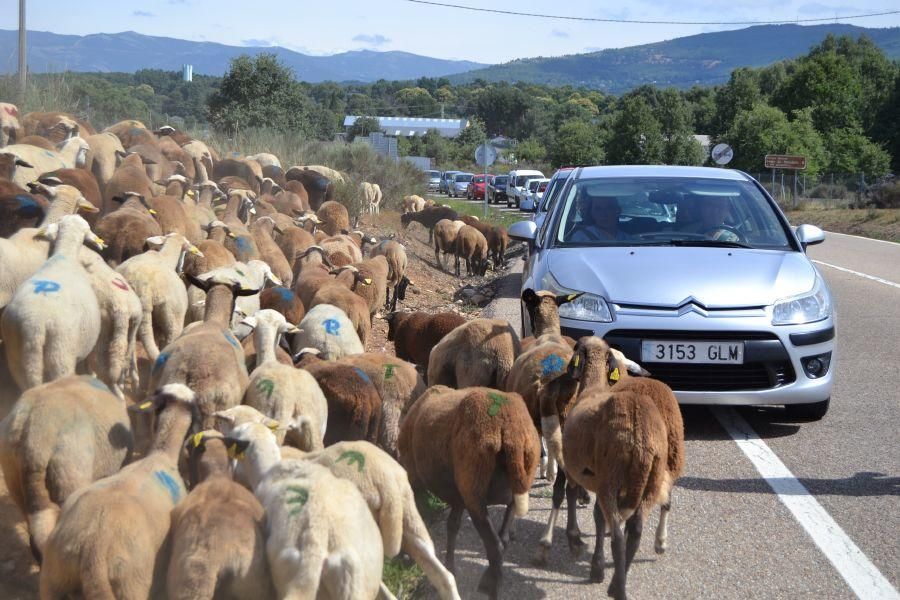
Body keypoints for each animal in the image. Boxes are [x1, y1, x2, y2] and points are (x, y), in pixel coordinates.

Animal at [400, 384, 540, 600]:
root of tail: (510, 429)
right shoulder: (460, 496)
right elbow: (452, 525)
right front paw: (450, 567)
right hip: (508, 494)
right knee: (503, 540)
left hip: (474, 492)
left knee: (495, 548)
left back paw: (491, 590)